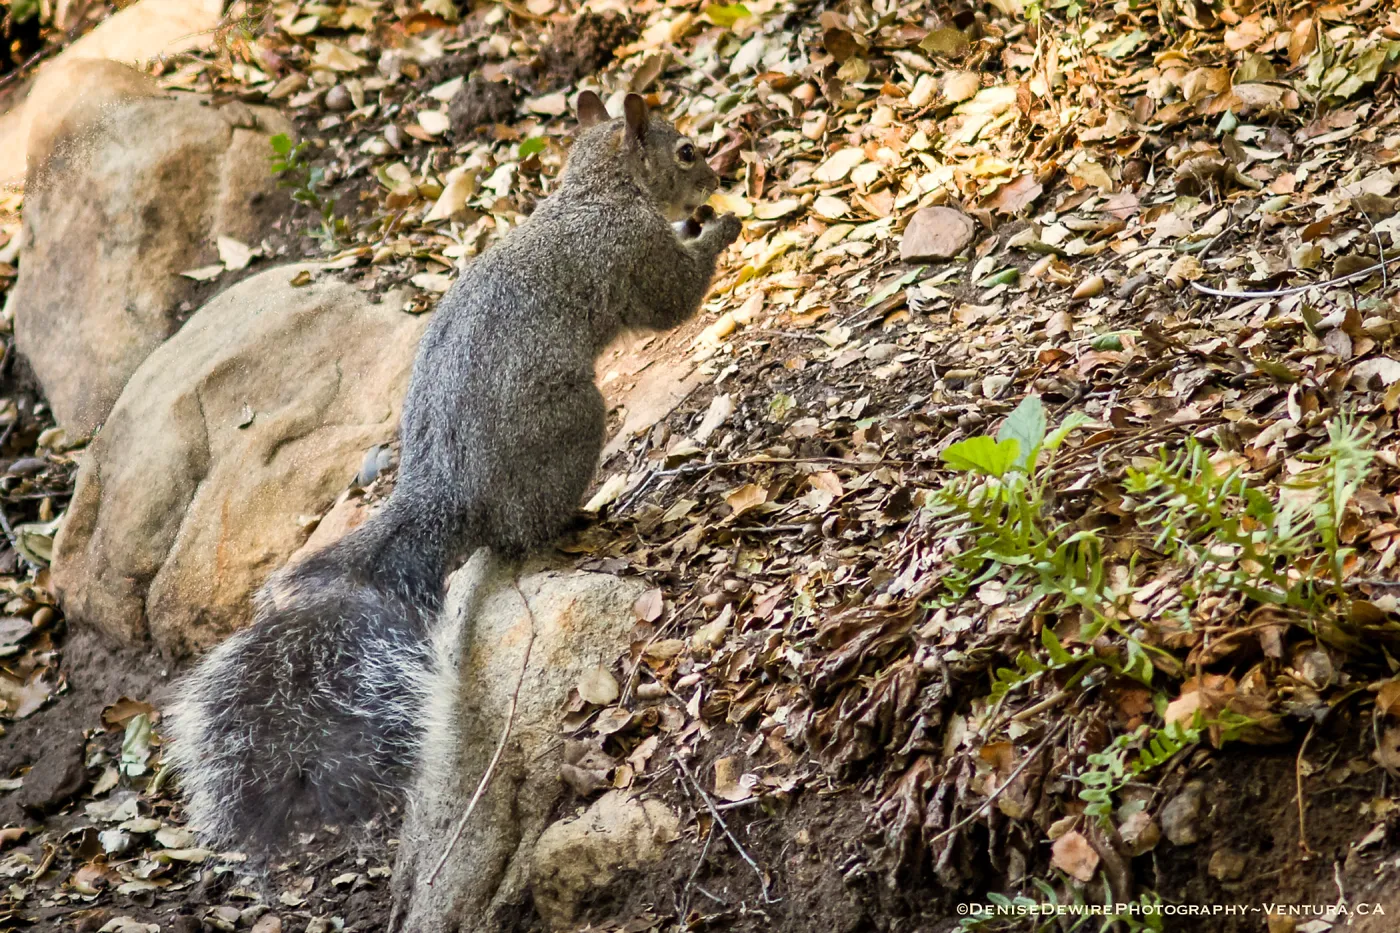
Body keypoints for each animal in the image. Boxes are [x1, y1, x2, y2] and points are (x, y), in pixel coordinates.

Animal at [164, 91, 740, 852]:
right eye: (686, 153)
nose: (715, 177)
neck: (593, 193)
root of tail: (447, 497)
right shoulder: (630, 252)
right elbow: (673, 299)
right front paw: (722, 226)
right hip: (571, 425)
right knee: (527, 531)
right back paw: (584, 517)